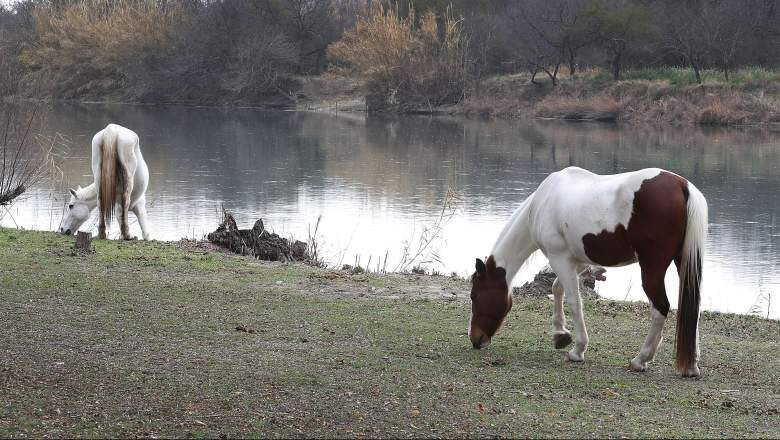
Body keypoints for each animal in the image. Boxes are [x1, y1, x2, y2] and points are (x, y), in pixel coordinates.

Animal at [469, 167, 707, 377]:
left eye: (474, 296)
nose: (475, 339)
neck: (543, 201)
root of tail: (682, 185)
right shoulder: (577, 261)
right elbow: (557, 289)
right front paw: (560, 334)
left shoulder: (559, 258)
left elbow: (574, 301)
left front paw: (577, 350)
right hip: (684, 264)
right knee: (692, 307)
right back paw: (691, 365)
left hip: (652, 269)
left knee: (660, 308)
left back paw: (641, 360)